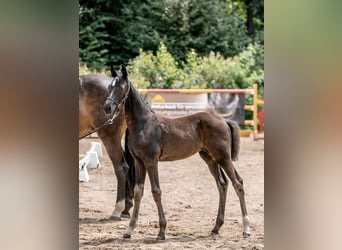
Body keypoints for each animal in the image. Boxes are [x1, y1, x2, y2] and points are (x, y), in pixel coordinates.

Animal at [103, 65, 250, 241]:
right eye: (109, 86)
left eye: (121, 87)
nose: (107, 108)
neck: (143, 124)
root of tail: (224, 120)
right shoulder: (139, 162)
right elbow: (139, 191)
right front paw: (129, 230)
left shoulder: (151, 161)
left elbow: (156, 191)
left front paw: (161, 231)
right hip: (209, 158)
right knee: (222, 184)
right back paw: (216, 227)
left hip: (223, 157)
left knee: (238, 183)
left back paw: (246, 228)